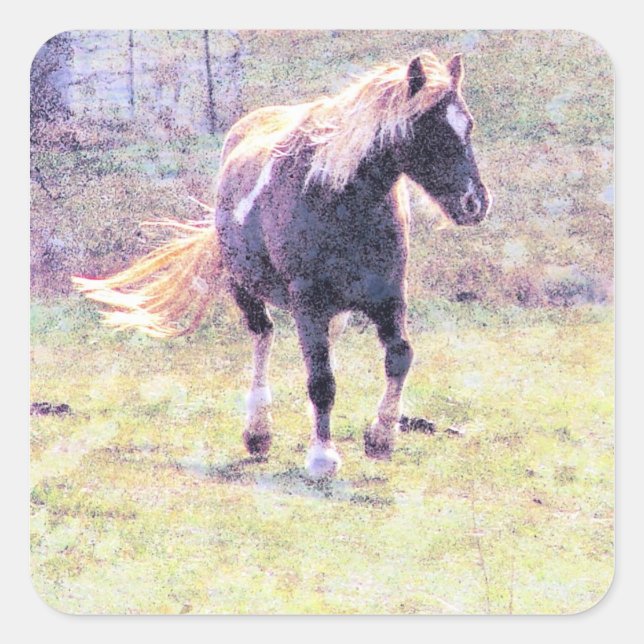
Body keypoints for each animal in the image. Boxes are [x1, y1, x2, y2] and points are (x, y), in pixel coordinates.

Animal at [73, 51, 491, 478]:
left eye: (468, 125)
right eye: (429, 130)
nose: (475, 203)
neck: (338, 197)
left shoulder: (388, 296)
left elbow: (399, 357)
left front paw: (380, 438)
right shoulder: (307, 303)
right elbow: (321, 382)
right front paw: (322, 456)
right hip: (245, 289)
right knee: (263, 336)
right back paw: (258, 432)